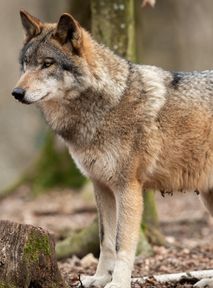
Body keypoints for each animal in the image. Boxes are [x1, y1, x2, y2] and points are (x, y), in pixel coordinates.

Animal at [12, 9, 213, 288]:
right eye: (26, 64)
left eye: (47, 64)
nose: (16, 92)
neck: (104, 106)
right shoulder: (101, 186)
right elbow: (105, 240)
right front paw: (99, 278)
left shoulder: (127, 188)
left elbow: (122, 244)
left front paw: (118, 283)